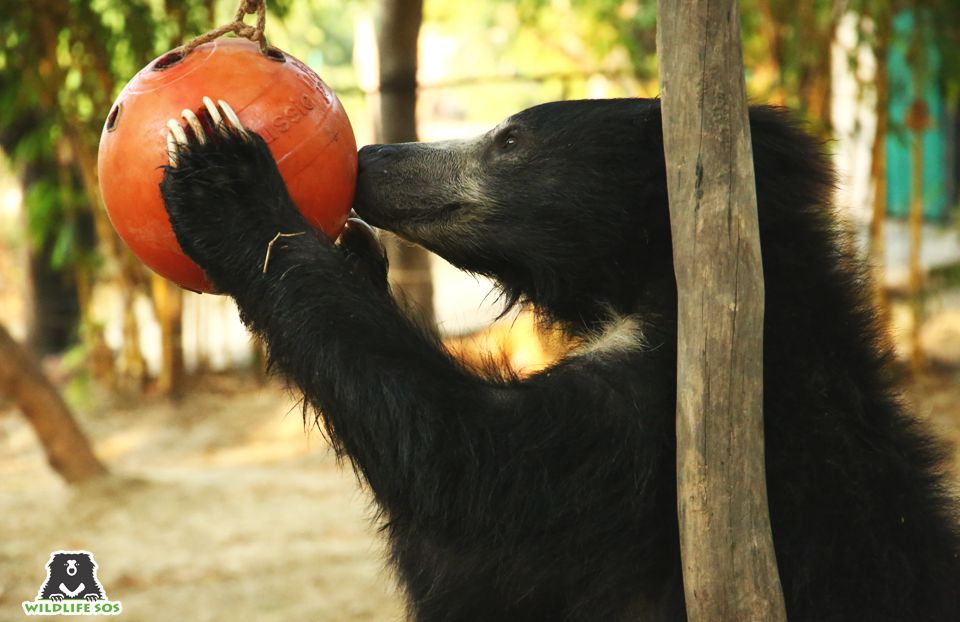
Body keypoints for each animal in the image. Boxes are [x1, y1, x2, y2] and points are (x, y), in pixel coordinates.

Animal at [161, 100, 956, 620]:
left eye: (510, 140)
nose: (370, 161)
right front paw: (352, 254)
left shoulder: (671, 428)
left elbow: (466, 461)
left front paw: (219, 172)